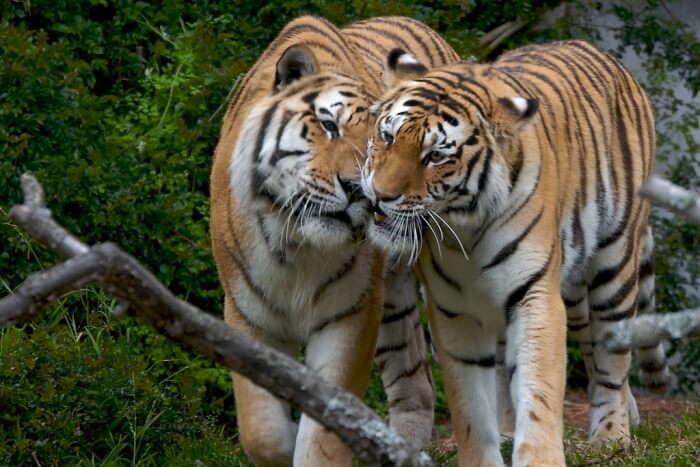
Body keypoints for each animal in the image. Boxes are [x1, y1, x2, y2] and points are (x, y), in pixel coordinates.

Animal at [209, 15, 457, 466]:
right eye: (329, 126)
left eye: (383, 141)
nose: (360, 190)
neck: (297, 246)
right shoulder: (247, 313)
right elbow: (261, 432)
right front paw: (284, 439)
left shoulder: (352, 314)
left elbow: (324, 435)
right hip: (393, 303)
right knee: (416, 379)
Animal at [360, 40, 671, 466]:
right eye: (387, 136)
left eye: (436, 157)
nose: (379, 196)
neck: (465, 228)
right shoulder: (455, 311)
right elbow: (471, 406)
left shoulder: (536, 295)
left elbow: (539, 391)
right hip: (570, 291)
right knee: (585, 349)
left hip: (614, 265)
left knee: (612, 357)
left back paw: (611, 435)